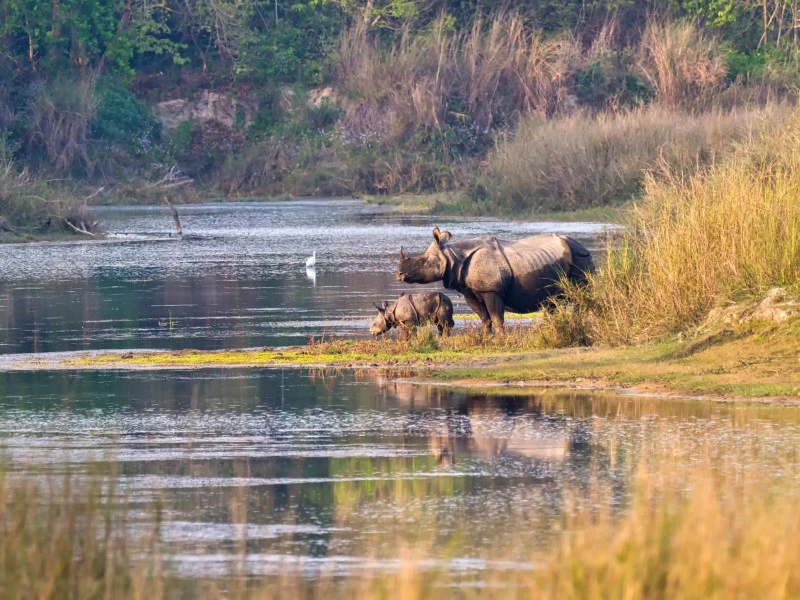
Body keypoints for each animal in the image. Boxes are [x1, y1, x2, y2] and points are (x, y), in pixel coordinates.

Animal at [397, 227, 594, 332]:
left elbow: (496, 316)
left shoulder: (492, 289)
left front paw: (501, 338)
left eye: (421, 261)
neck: (453, 256)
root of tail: (584, 247)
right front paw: (485, 339)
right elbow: (485, 318)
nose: (399, 274)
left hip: (580, 258)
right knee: (553, 301)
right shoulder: (470, 291)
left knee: (579, 295)